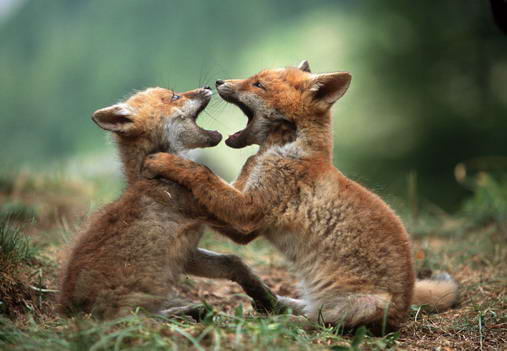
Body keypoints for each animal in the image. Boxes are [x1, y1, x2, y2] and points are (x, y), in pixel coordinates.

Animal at [58, 86, 280, 322]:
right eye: (175, 96)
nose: (207, 87)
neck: (159, 179)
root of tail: (67, 311)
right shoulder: (237, 224)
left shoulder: (187, 254)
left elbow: (234, 262)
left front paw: (266, 297)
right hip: (131, 308)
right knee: (147, 318)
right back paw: (189, 312)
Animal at [142, 61, 460, 332]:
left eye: (258, 84)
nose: (220, 82)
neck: (287, 149)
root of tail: (405, 308)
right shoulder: (244, 209)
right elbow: (207, 189)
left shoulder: (248, 215)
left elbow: (202, 174)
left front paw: (166, 163)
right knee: (306, 309)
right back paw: (274, 303)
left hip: (363, 307)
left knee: (321, 322)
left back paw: (282, 320)